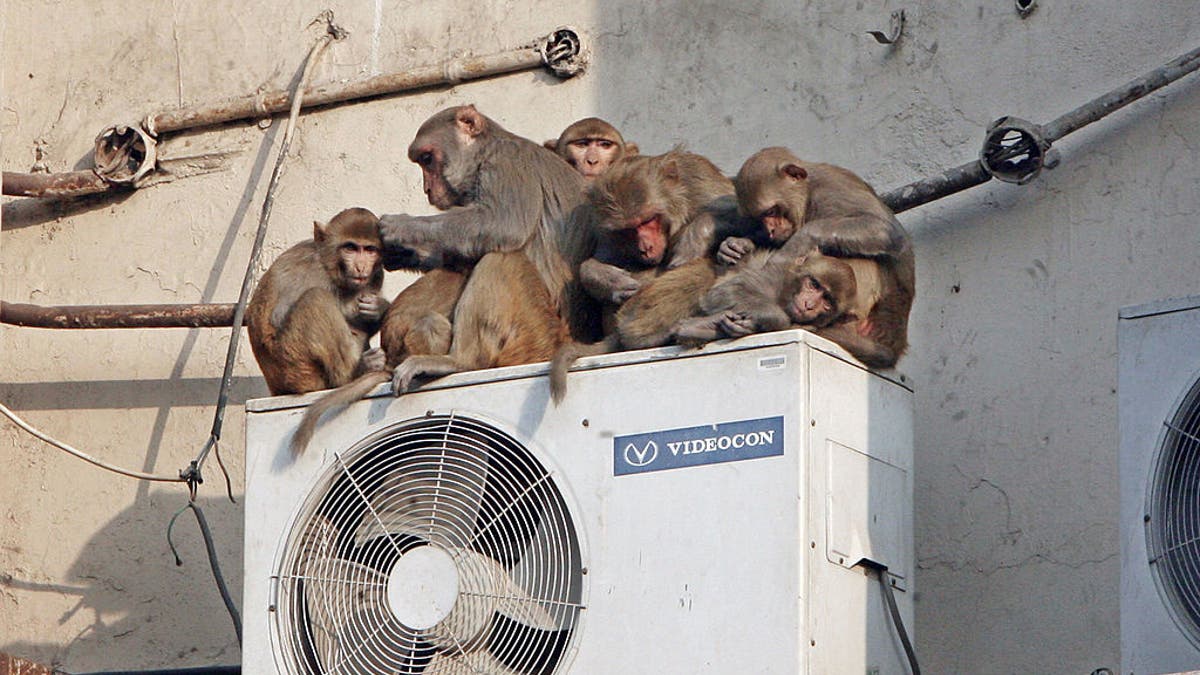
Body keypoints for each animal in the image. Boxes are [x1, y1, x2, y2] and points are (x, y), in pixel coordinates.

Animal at [244, 205, 388, 393]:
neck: (330, 265)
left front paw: (378, 308)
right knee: (316, 299)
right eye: (350, 248)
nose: (361, 267)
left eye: (370, 250)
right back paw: (353, 374)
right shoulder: (313, 272)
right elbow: (278, 315)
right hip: (296, 366)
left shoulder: (377, 276)